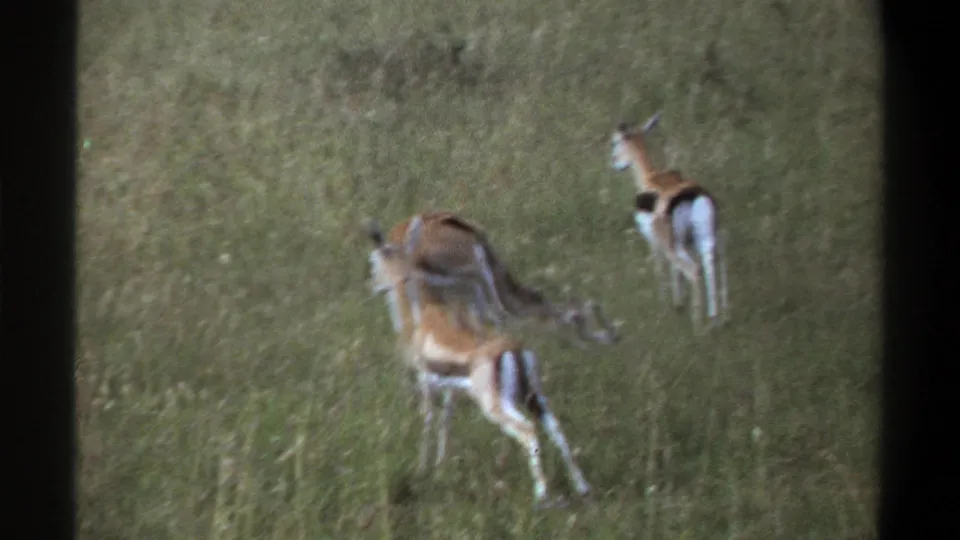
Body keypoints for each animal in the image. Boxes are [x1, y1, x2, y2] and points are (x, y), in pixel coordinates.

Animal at [366, 216, 593, 508]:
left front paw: (423, 468)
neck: (424, 314)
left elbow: (428, 420)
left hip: (497, 406)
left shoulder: (427, 382)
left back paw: (542, 496)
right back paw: (582, 487)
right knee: (556, 428)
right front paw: (441, 466)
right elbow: (446, 419)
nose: (373, 287)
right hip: (535, 397)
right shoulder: (450, 387)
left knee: (528, 430)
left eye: (374, 261)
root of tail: (515, 351)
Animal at [610, 112, 729, 330]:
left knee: (693, 270)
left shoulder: (655, 244)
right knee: (712, 263)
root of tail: (692, 196)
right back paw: (718, 317)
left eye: (615, 141)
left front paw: (667, 306)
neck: (650, 178)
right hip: (705, 239)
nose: (615, 163)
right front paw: (678, 305)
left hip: (674, 247)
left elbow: (661, 270)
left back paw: (698, 324)